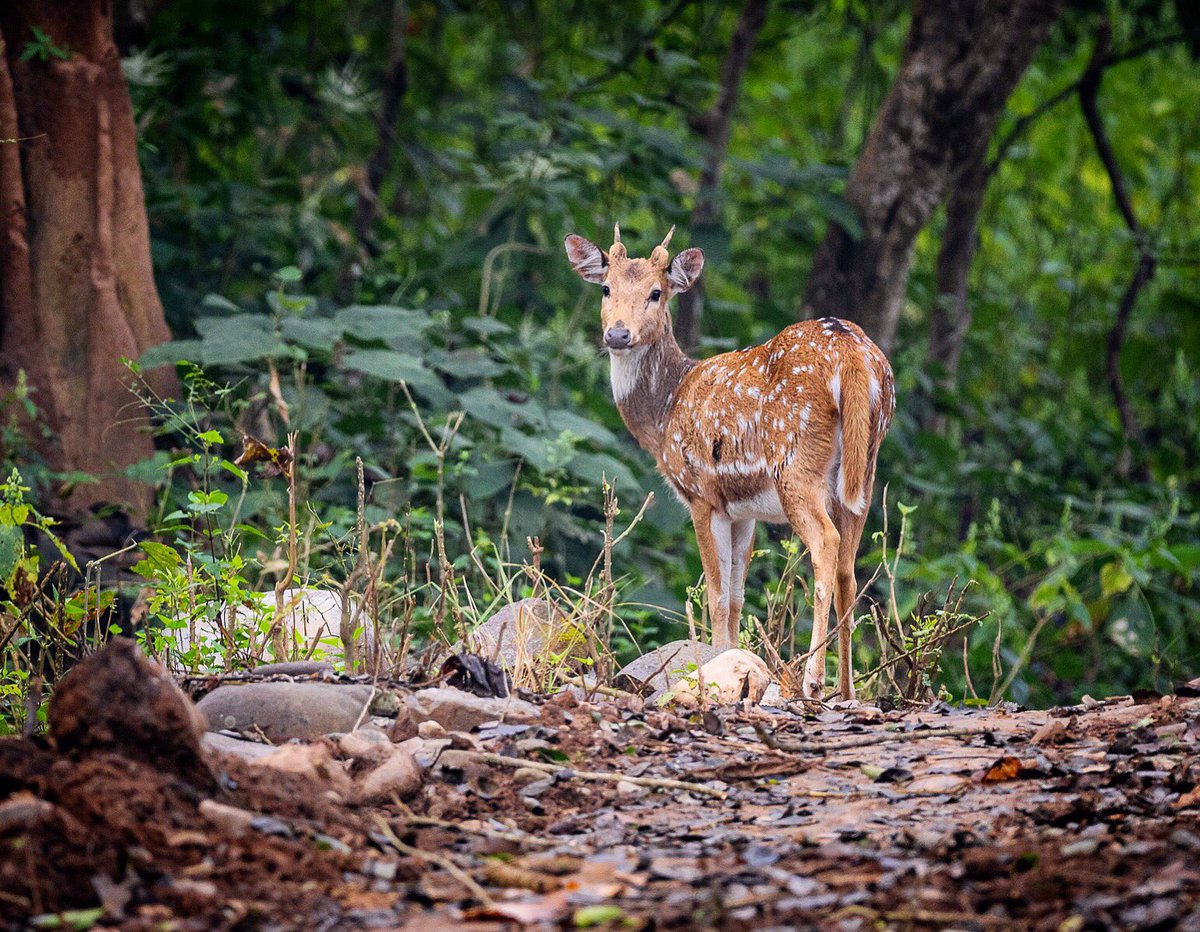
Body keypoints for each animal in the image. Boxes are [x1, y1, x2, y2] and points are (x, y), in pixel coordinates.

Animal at [566, 221, 897, 695]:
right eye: (606, 288)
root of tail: (854, 355)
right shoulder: (746, 511)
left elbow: (718, 595)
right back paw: (847, 689)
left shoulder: (703, 494)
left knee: (825, 545)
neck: (666, 410)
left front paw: (716, 663)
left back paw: (813, 678)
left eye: (656, 292)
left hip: (796, 464)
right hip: (862, 472)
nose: (618, 334)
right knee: (848, 573)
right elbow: (739, 596)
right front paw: (734, 659)